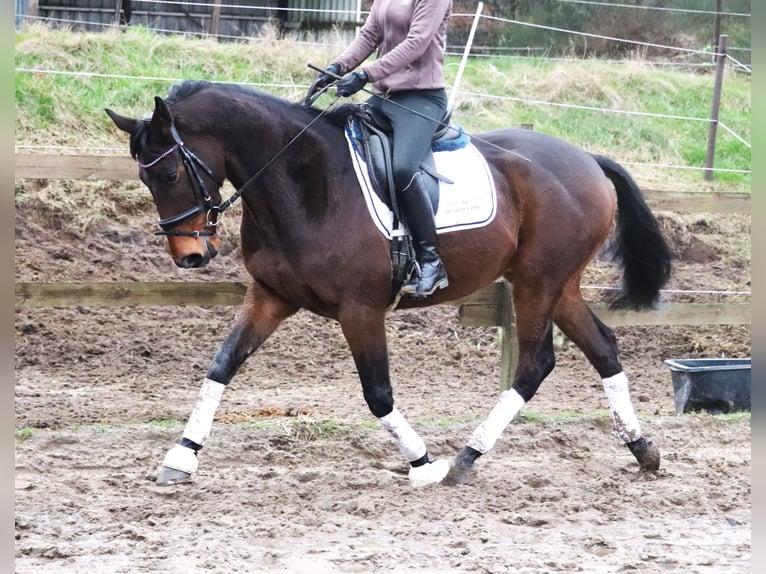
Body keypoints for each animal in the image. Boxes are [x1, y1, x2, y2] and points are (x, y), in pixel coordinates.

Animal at [108, 79, 672, 488]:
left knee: (536, 363)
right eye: (147, 179)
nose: (191, 256)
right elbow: (221, 366)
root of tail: (587, 159)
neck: (304, 184)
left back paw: (466, 458)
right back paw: (642, 449)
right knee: (603, 347)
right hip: (559, 284)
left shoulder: (361, 309)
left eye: (170, 175)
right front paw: (181, 457)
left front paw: (424, 464)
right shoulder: (271, 297)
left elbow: (377, 394)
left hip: (538, 282)